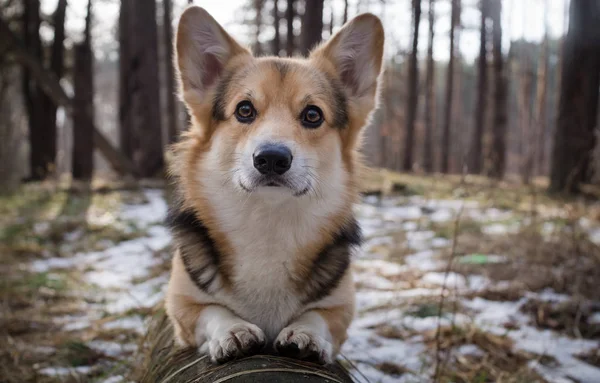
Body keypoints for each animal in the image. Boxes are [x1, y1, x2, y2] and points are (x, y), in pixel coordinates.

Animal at [164, 5, 384, 366]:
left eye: (312, 115)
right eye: (244, 110)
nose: (271, 158)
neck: (268, 221)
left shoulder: (339, 309)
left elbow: (317, 317)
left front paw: (305, 334)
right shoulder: (182, 308)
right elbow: (212, 311)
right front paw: (233, 330)